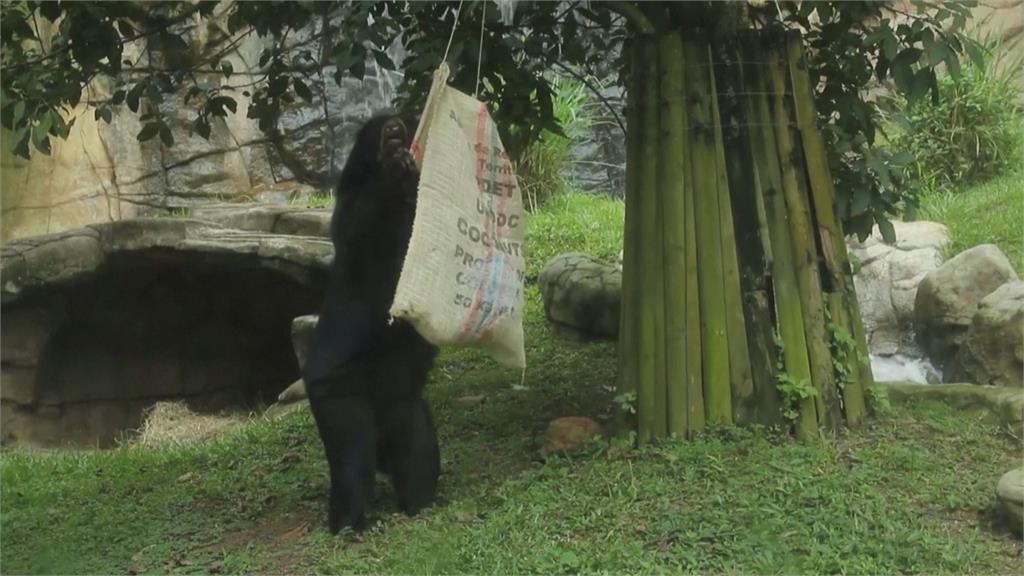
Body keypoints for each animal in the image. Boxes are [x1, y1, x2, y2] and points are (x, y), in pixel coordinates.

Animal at [299, 114, 436, 532]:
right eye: (378, 127)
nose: (394, 123)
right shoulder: (353, 203)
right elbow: (356, 225)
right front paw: (395, 166)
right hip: (337, 389)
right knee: (351, 454)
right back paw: (349, 521)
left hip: (398, 388)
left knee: (413, 436)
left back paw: (420, 500)